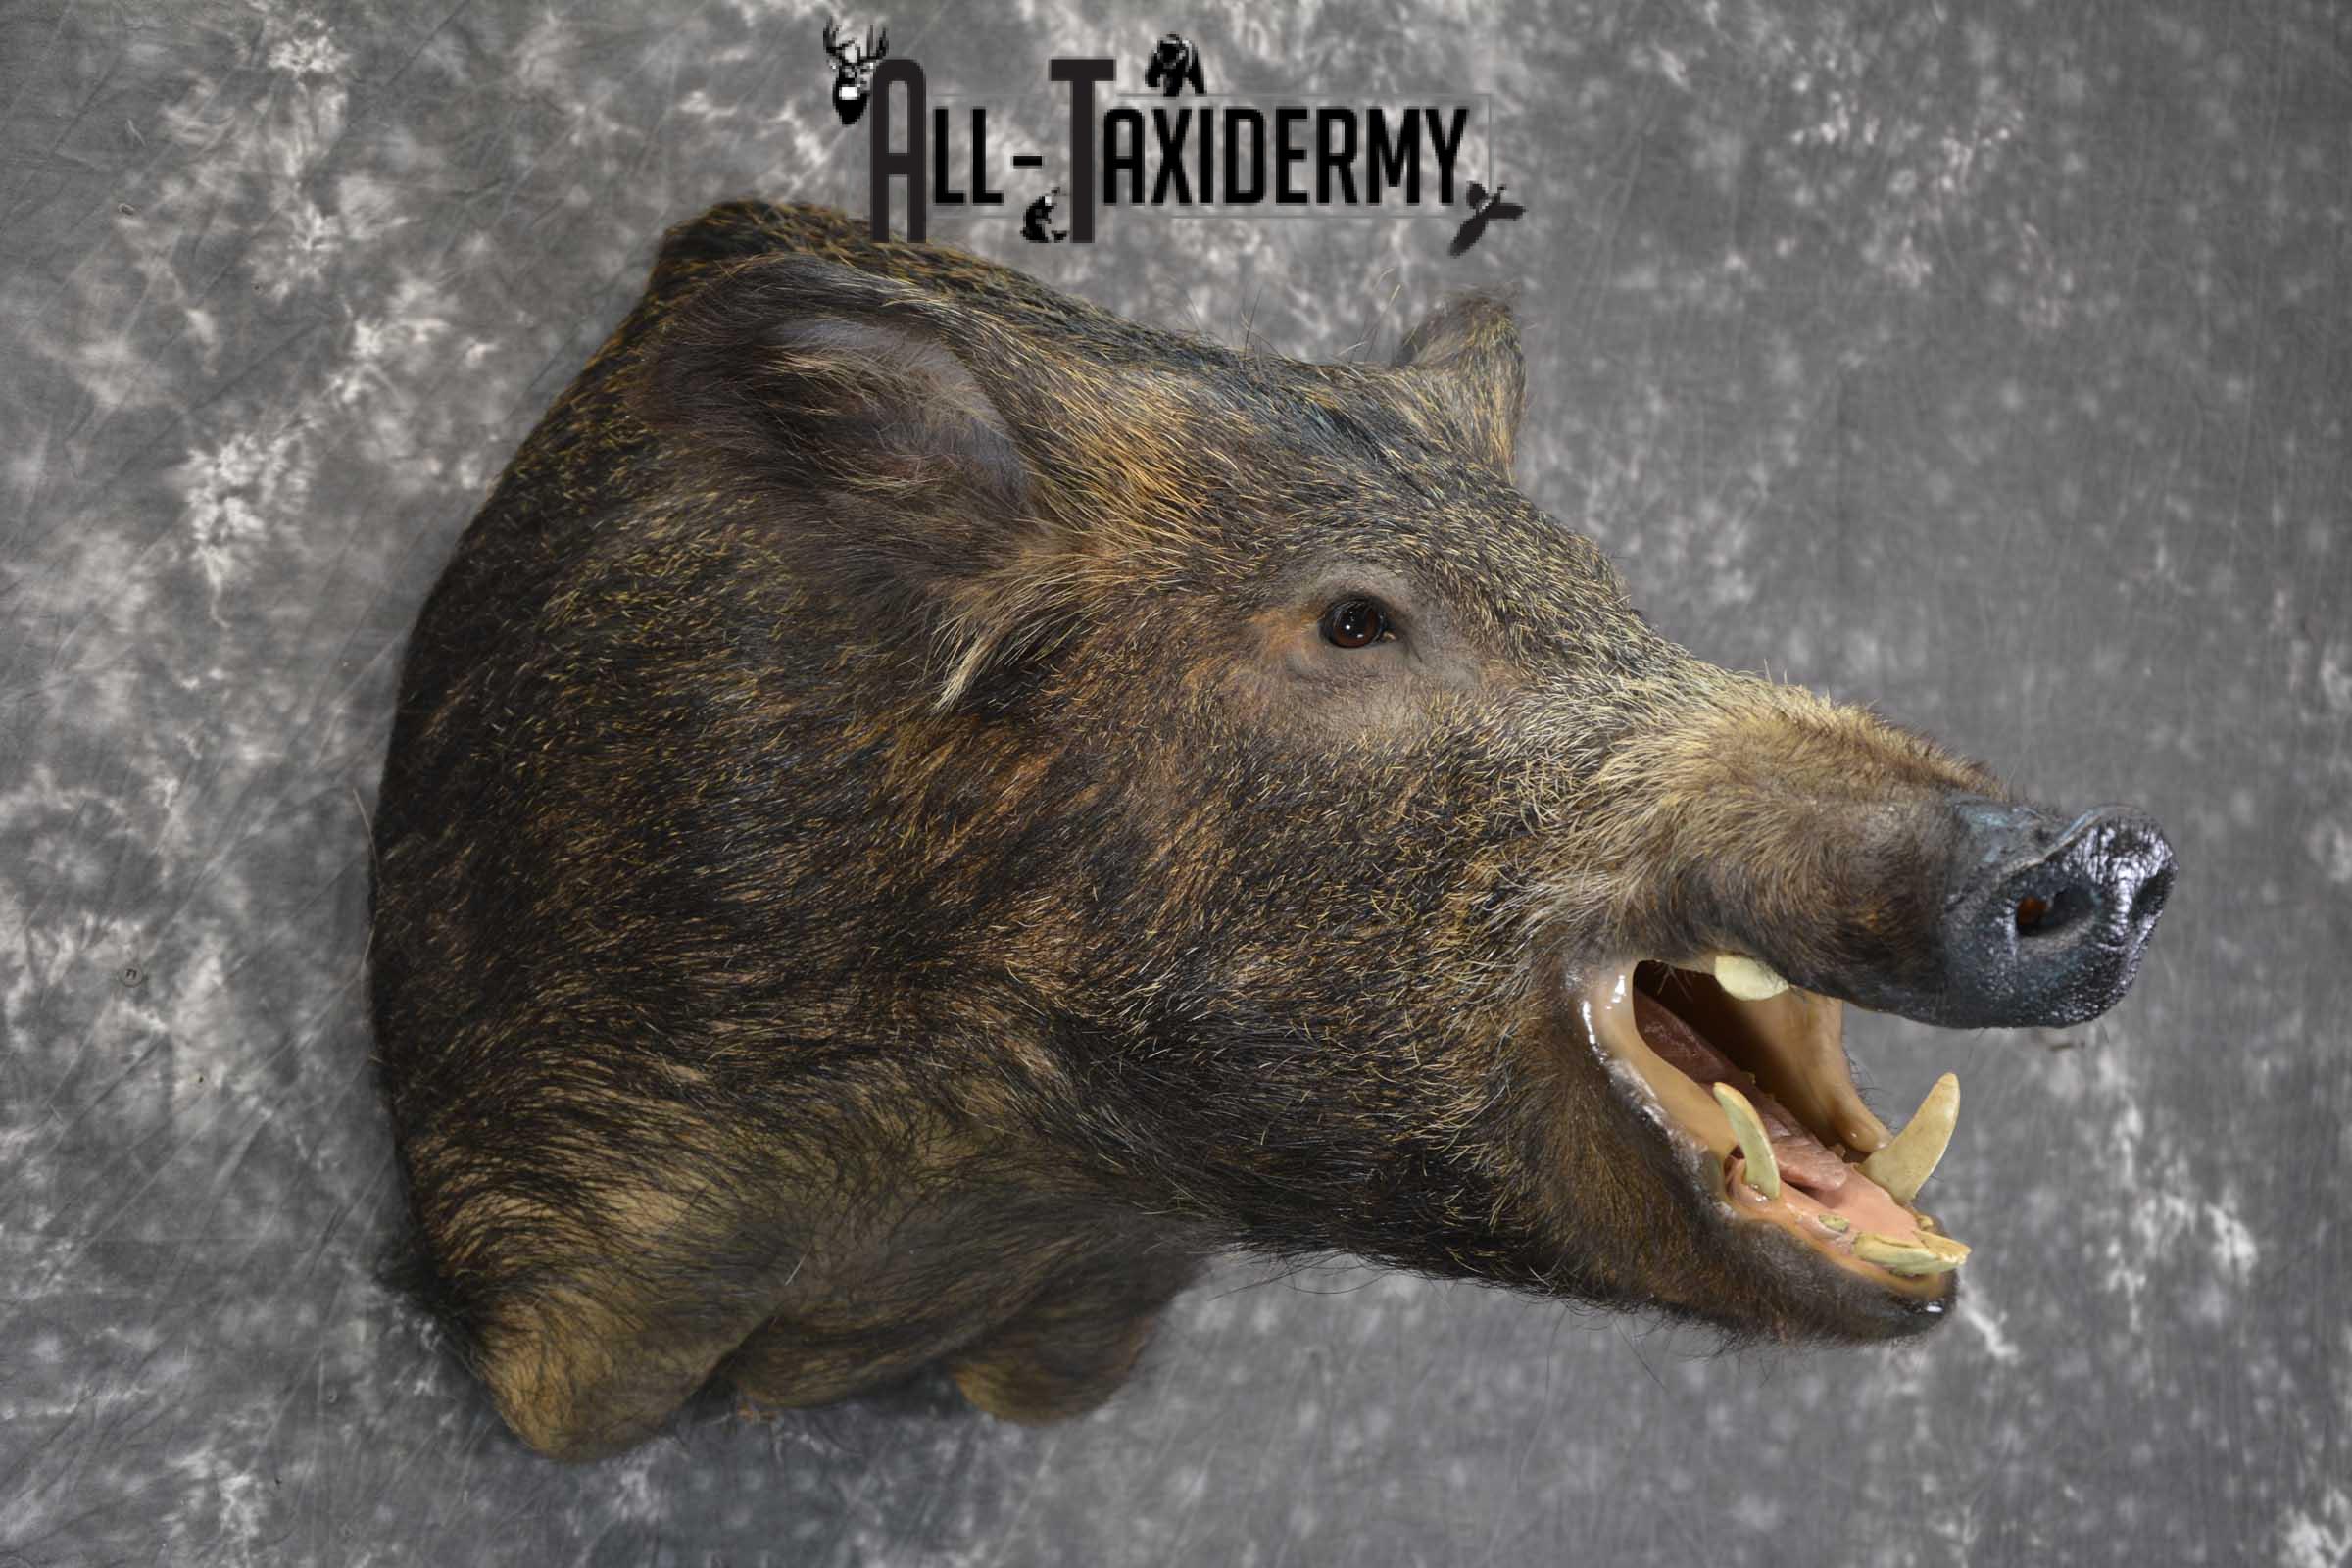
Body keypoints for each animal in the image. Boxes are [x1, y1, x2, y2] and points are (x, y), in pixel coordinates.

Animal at [368, 200, 2175, 1462]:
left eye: (1611, 595)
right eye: (1355, 621)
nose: (2112, 856)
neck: (1031, 1178)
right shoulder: (588, 1216)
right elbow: (573, 1419)